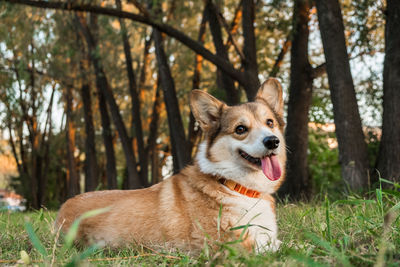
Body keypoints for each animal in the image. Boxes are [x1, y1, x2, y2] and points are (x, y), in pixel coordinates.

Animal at [57, 78, 288, 255]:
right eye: (240, 129)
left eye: (269, 123)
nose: (272, 141)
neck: (232, 184)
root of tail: (63, 208)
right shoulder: (231, 244)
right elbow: (279, 247)